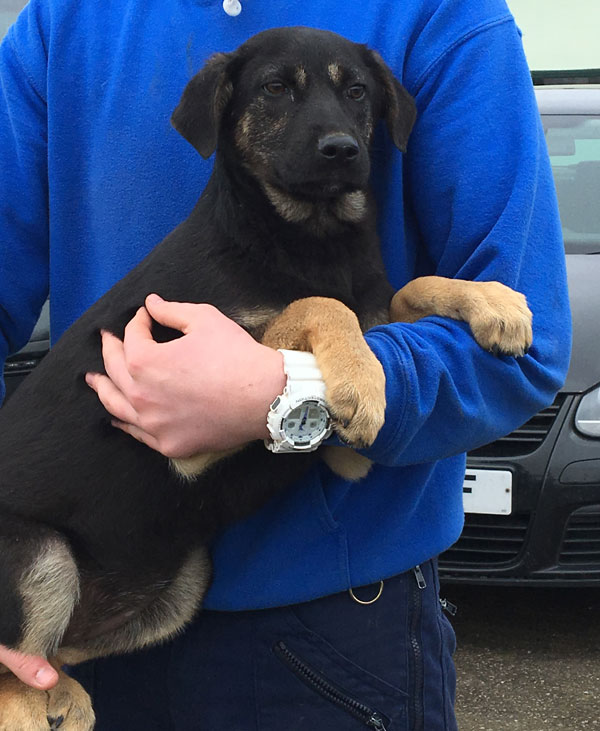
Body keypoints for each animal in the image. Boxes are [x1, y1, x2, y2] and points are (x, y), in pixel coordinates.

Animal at [0, 25, 532, 728]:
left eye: (356, 91)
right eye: (276, 88)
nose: (342, 150)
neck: (307, 233)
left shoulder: (342, 443)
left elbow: (407, 289)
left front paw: (494, 303)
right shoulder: (183, 414)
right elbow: (319, 303)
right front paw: (361, 383)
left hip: (179, 587)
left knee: (50, 660)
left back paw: (66, 694)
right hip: (41, 555)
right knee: (13, 682)